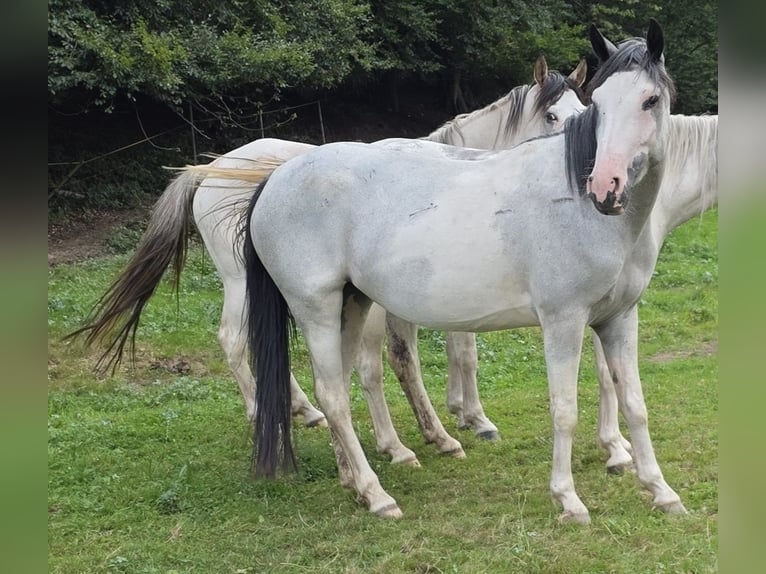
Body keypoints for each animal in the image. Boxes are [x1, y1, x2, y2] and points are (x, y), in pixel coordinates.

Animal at [68, 57, 588, 465]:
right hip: (244, 283)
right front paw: (450, 426)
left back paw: (303, 410)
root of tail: (208, 171)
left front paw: (458, 415)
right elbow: (408, 361)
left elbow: (449, 352)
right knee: (235, 340)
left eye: (583, 111)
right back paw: (267, 411)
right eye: (553, 114)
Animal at [242, 20, 686, 523]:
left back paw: (354, 480)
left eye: (650, 100)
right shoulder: (564, 321)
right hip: (315, 309)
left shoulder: (619, 319)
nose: (605, 185)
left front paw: (661, 491)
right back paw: (378, 495)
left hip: (351, 305)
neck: (581, 208)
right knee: (334, 397)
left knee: (338, 384)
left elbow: (635, 403)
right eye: (601, 103)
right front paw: (568, 499)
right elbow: (565, 409)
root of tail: (276, 178)